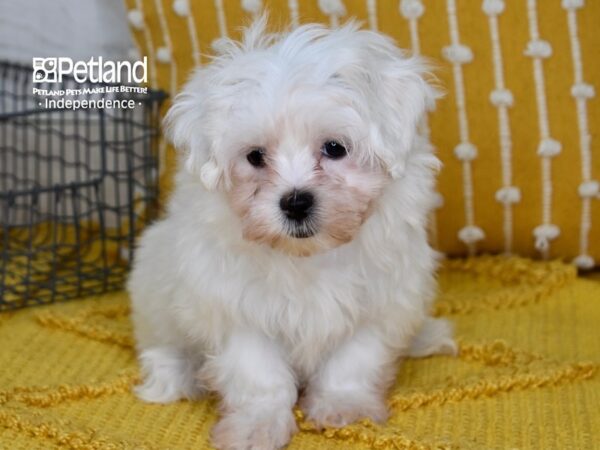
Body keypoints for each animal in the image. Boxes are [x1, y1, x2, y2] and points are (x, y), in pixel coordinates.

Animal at [130, 17, 454, 450]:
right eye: (255, 156)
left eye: (334, 148)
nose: (296, 203)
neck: (307, 255)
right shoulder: (233, 304)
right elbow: (258, 373)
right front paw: (256, 426)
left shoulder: (381, 299)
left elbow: (354, 358)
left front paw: (343, 406)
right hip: (153, 283)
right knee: (163, 342)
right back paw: (174, 376)